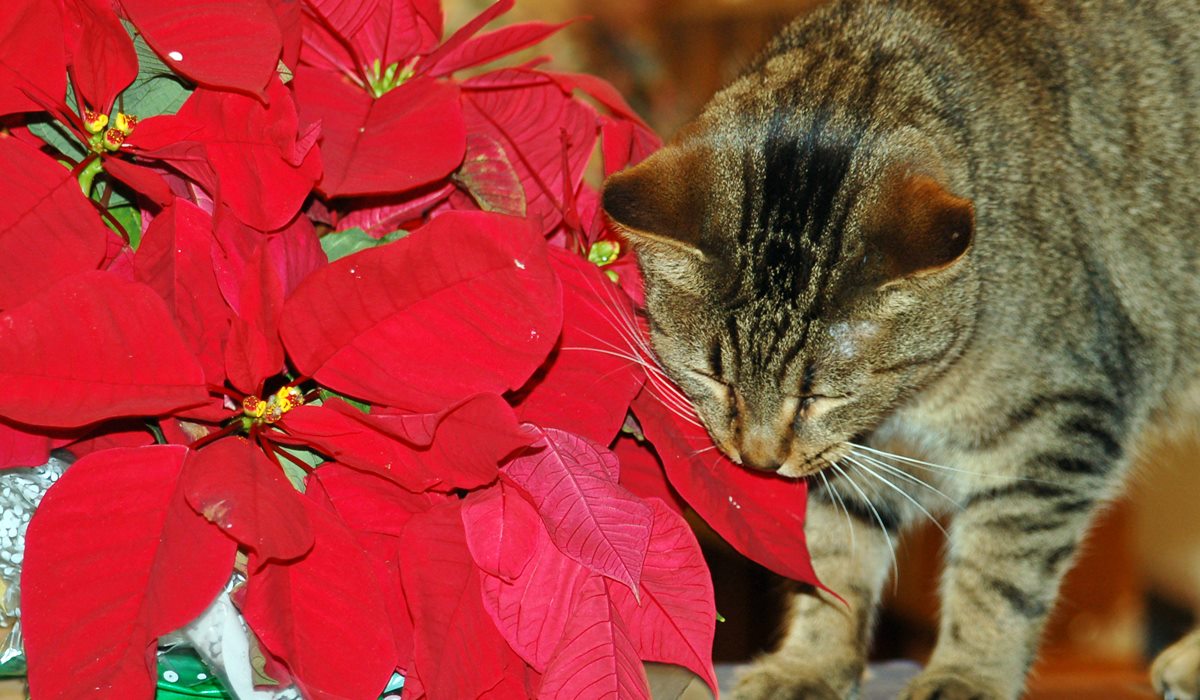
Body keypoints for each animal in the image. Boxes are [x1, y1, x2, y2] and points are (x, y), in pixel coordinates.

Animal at [604, 0, 1200, 696]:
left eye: (820, 396)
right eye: (715, 377)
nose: (758, 461)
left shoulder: (1055, 428)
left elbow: (998, 576)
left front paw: (968, 674)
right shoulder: (854, 462)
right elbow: (832, 557)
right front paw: (810, 664)